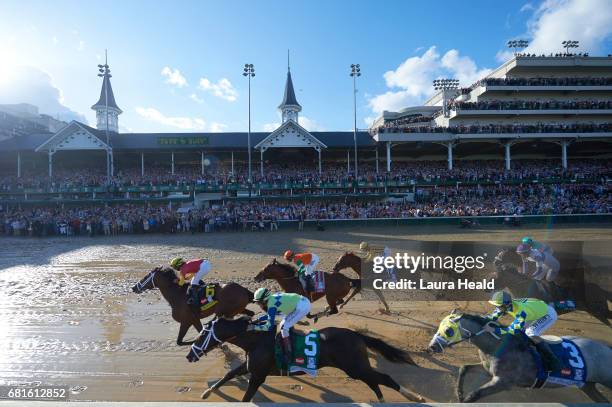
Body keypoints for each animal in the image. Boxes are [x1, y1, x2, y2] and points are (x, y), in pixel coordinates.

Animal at [186, 318, 426, 402]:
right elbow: (228, 374)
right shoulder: (250, 367)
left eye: (201, 335)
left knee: (383, 378)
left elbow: (246, 397)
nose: (189, 355)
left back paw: (414, 397)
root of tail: (357, 335)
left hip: (355, 367)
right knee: (375, 382)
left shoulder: (258, 375)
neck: (257, 340)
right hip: (357, 368)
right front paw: (206, 392)